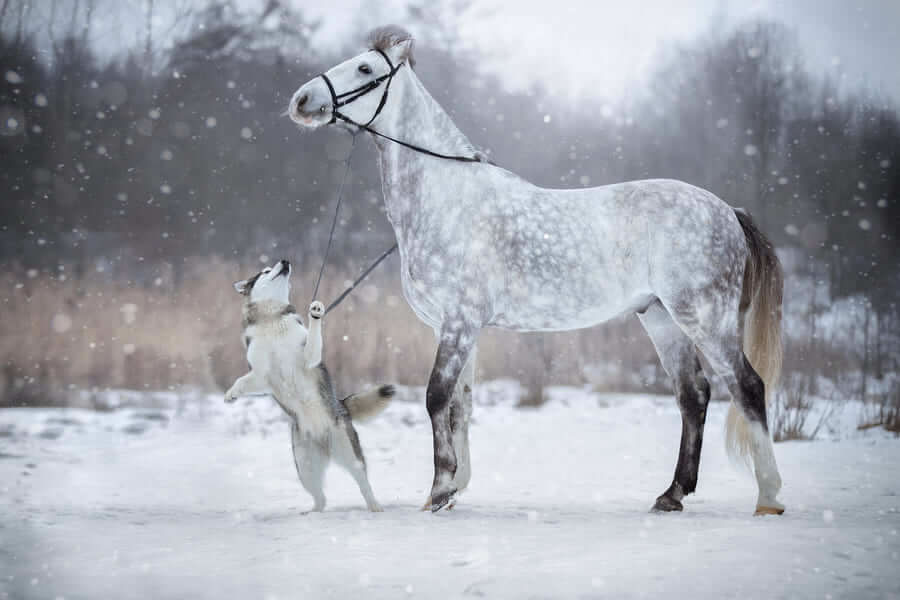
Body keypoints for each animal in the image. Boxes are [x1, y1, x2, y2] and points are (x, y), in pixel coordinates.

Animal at [225, 258, 394, 510]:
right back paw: (314, 513)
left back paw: (375, 507)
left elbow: (313, 340)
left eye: (273, 266)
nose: (285, 261)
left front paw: (316, 313)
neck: (272, 320)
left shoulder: (308, 359)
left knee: (363, 484)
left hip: (349, 453)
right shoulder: (262, 376)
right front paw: (232, 393)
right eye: (266, 270)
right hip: (305, 468)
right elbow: (243, 380)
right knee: (321, 497)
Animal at [286, 25, 780, 516]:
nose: (301, 100)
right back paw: (672, 494)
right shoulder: (452, 327)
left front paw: (439, 490)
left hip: (705, 318)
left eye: (364, 68)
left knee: (748, 387)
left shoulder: (460, 322)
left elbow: (436, 397)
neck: (446, 199)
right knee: (693, 394)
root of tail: (728, 211)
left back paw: (769, 497)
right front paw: (455, 488)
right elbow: (460, 405)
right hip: (661, 318)